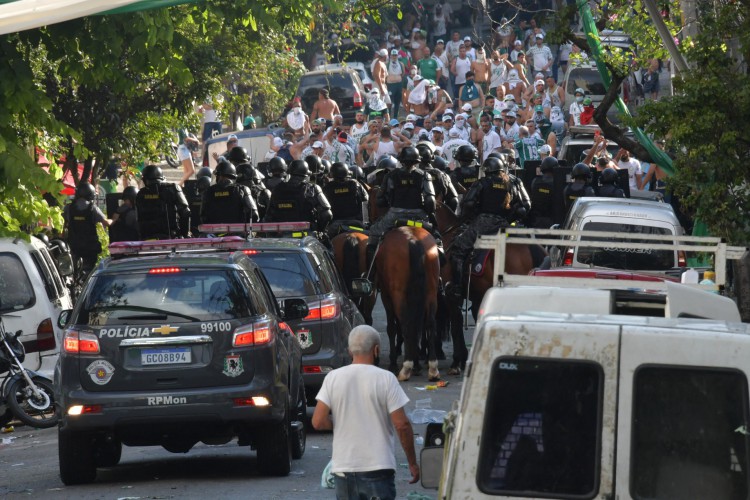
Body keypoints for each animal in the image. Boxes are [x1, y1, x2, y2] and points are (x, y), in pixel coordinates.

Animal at [376, 225, 440, 380]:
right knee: (429, 323)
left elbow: (392, 328)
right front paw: (417, 363)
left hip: (398, 294)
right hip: (431, 292)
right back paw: (432, 367)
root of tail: (413, 239)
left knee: (406, 324)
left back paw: (406, 367)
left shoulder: (387, 296)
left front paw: (394, 362)